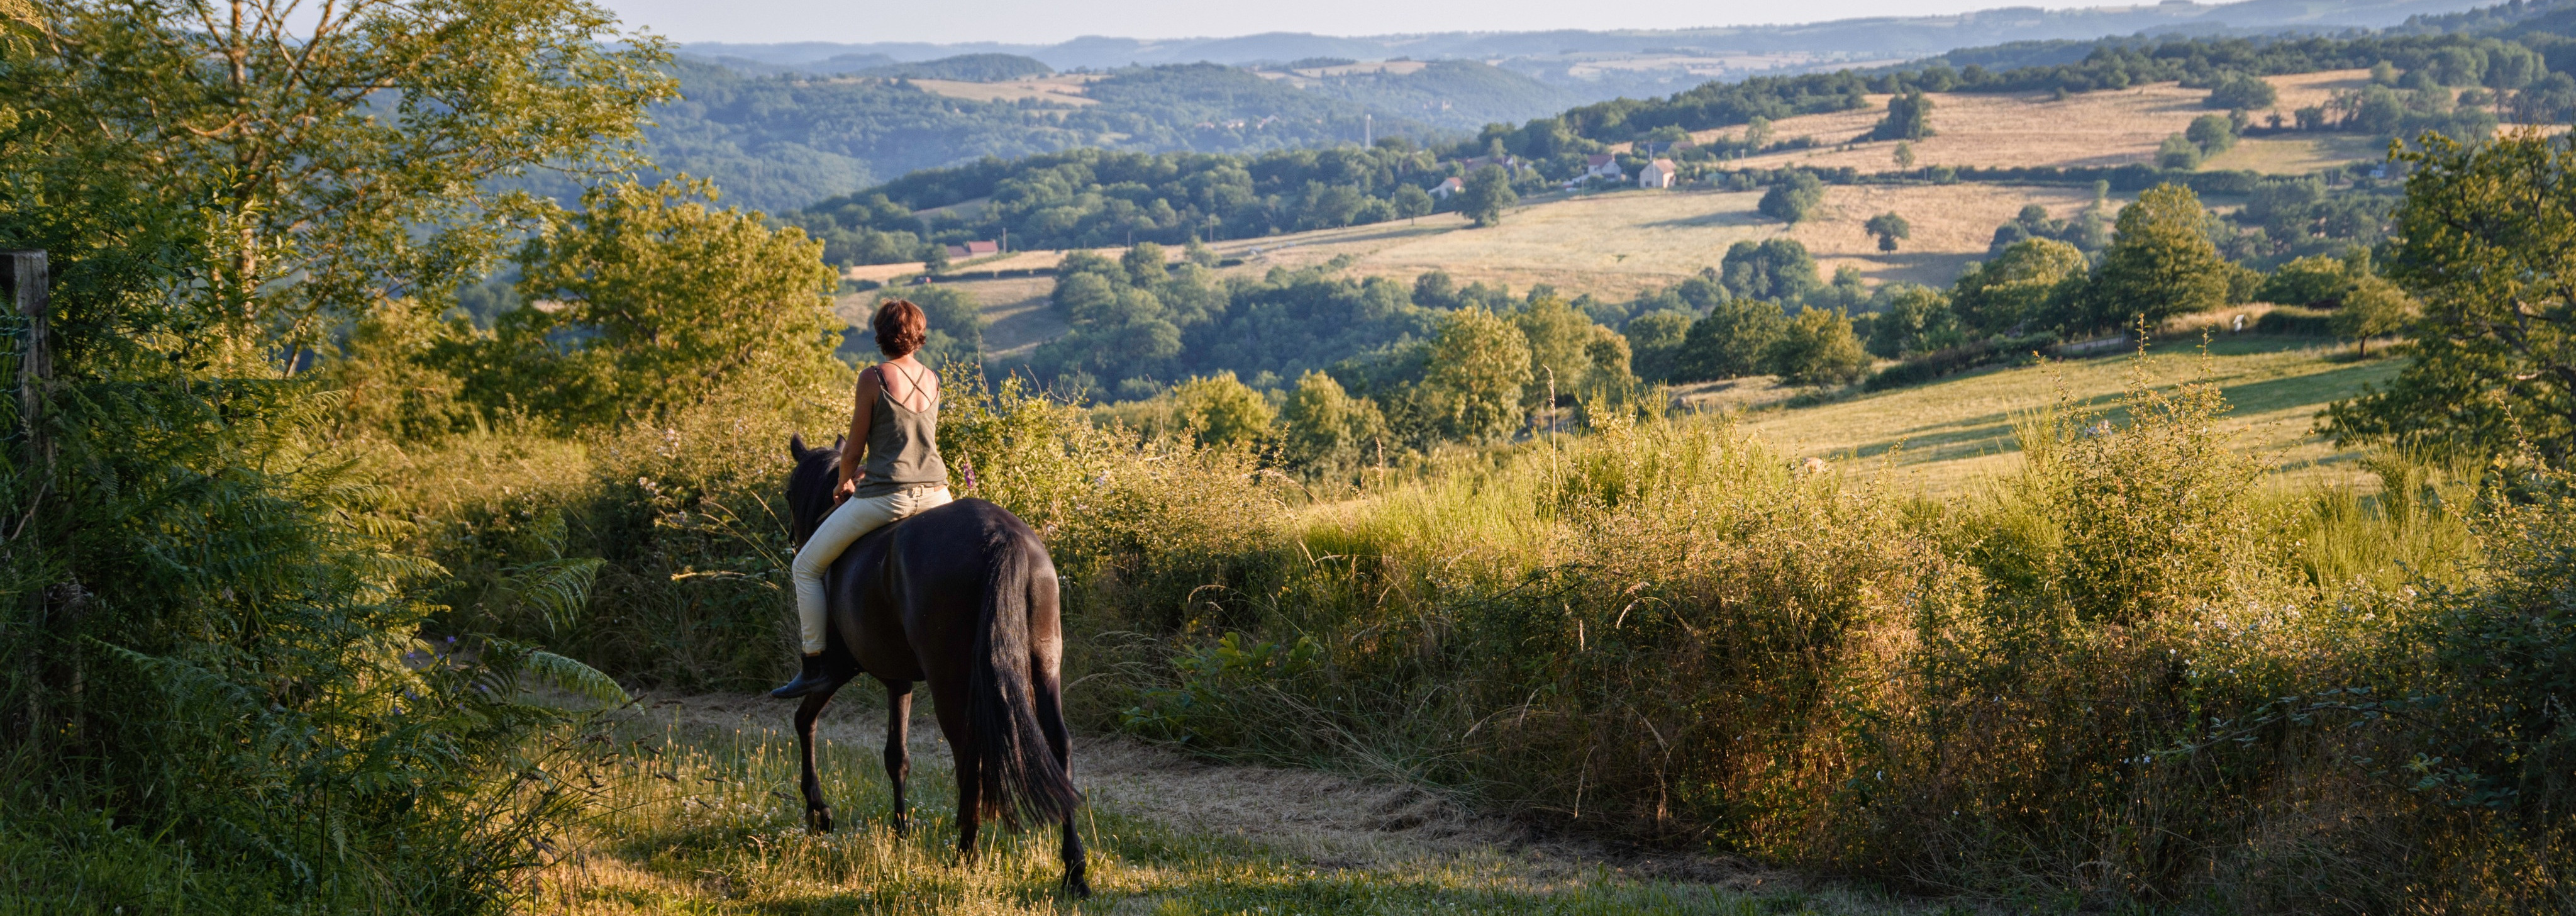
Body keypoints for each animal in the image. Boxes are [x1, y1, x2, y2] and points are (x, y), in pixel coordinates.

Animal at [767, 438, 1082, 898]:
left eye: (790, 495)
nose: (794, 540)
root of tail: (1001, 534)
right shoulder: (899, 680)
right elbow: (896, 756)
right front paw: (900, 833)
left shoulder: (840, 669)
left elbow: (804, 720)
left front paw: (818, 811)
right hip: (1044, 667)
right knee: (1059, 746)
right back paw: (1074, 870)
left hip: (948, 679)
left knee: (968, 751)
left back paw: (966, 855)